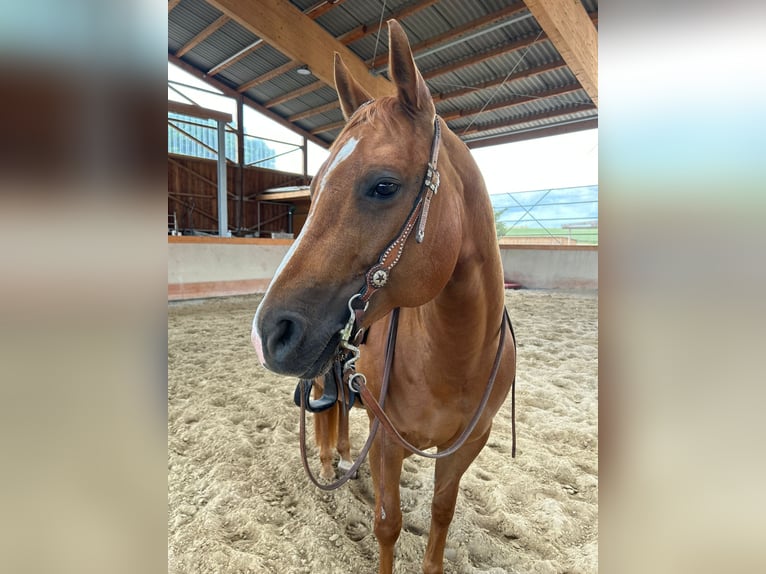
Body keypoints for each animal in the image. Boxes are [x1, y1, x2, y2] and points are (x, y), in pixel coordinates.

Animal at [251, 19, 516, 574]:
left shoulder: (465, 448)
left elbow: (440, 513)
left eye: (384, 185)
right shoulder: (388, 443)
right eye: (312, 190)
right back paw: (332, 461)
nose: (269, 332)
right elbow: (388, 523)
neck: (455, 358)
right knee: (326, 406)